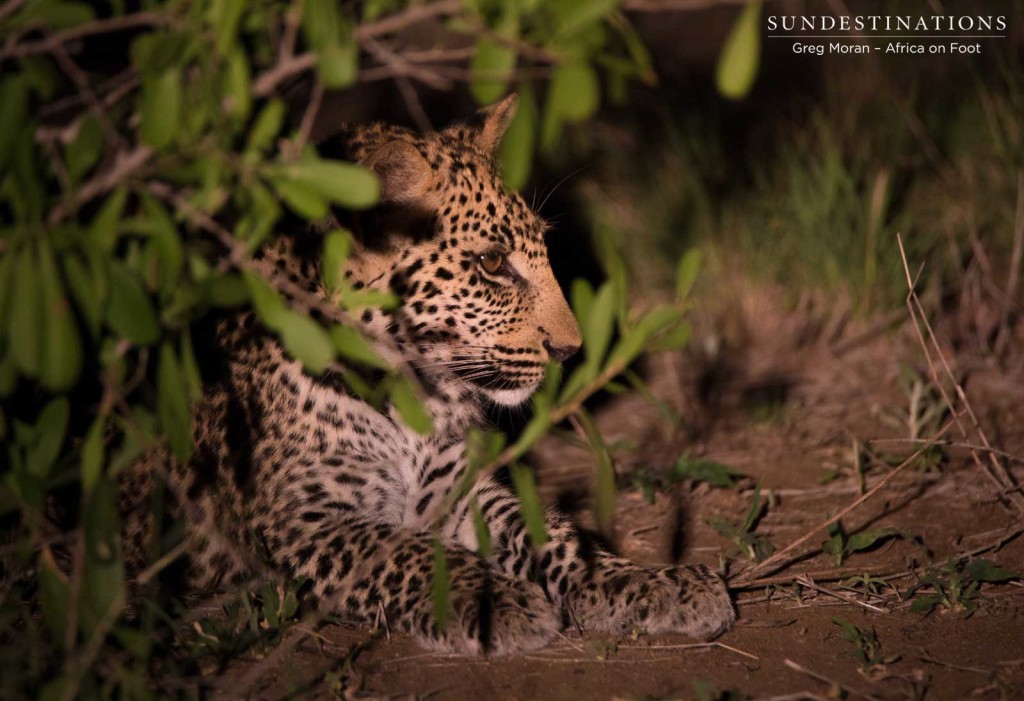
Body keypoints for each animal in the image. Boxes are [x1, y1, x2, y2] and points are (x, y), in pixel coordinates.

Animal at [128, 94, 737, 654]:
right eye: (492, 264)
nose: (569, 349)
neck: (414, 397)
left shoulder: (457, 487)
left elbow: (555, 533)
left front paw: (650, 583)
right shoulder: (302, 519)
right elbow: (405, 551)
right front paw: (493, 601)